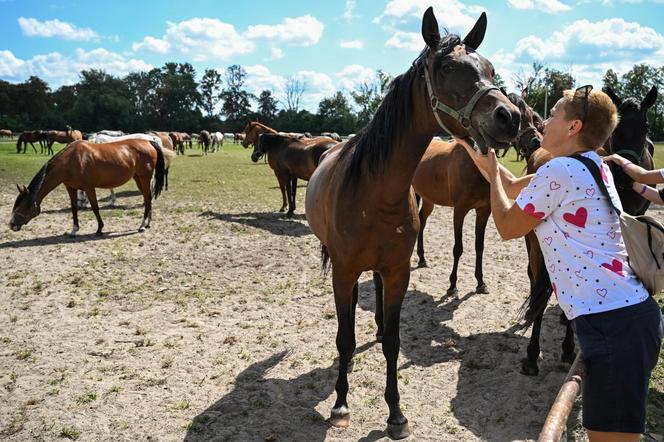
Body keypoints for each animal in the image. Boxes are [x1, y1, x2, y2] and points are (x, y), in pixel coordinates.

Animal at [8, 139, 169, 237]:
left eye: (23, 206)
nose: (12, 224)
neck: (71, 160)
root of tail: (149, 142)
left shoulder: (89, 187)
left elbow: (95, 207)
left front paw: (99, 229)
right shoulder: (71, 188)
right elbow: (74, 208)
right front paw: (74, 230)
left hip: (144, 178)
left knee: (147, 199)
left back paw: (142, 225)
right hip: (138, 179)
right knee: (148, 199)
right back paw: (147, 224)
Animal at [412, 140, 490, 296]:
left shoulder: (484, 211)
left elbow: (479, 246)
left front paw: (480, 283)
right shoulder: (459, 211)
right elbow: (458, 248)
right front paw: (452, 286)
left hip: (428, 199)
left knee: (422, 222)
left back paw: (422, 259)